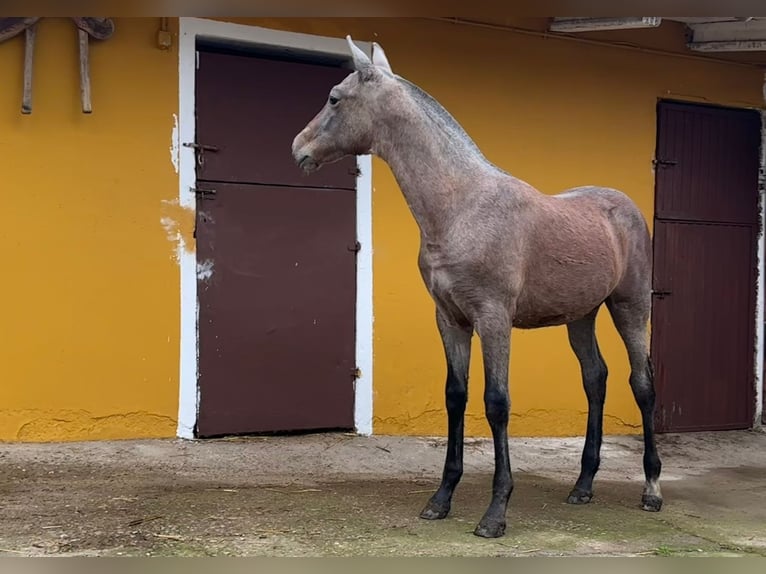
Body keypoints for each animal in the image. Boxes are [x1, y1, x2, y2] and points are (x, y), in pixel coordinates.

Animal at [292, 35, 664, 540]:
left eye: (334, 97)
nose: (298, 147)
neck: (461, 206)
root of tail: (625, 206)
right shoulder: (451, 319)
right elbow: (456, 397)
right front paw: (441, 498)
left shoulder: (493, 319)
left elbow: (496, 403)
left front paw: (495, 513)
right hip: (581, 316)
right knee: (595, 379)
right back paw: (583, 485)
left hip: (629, 307)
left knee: (641, 383)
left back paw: (652, 488)